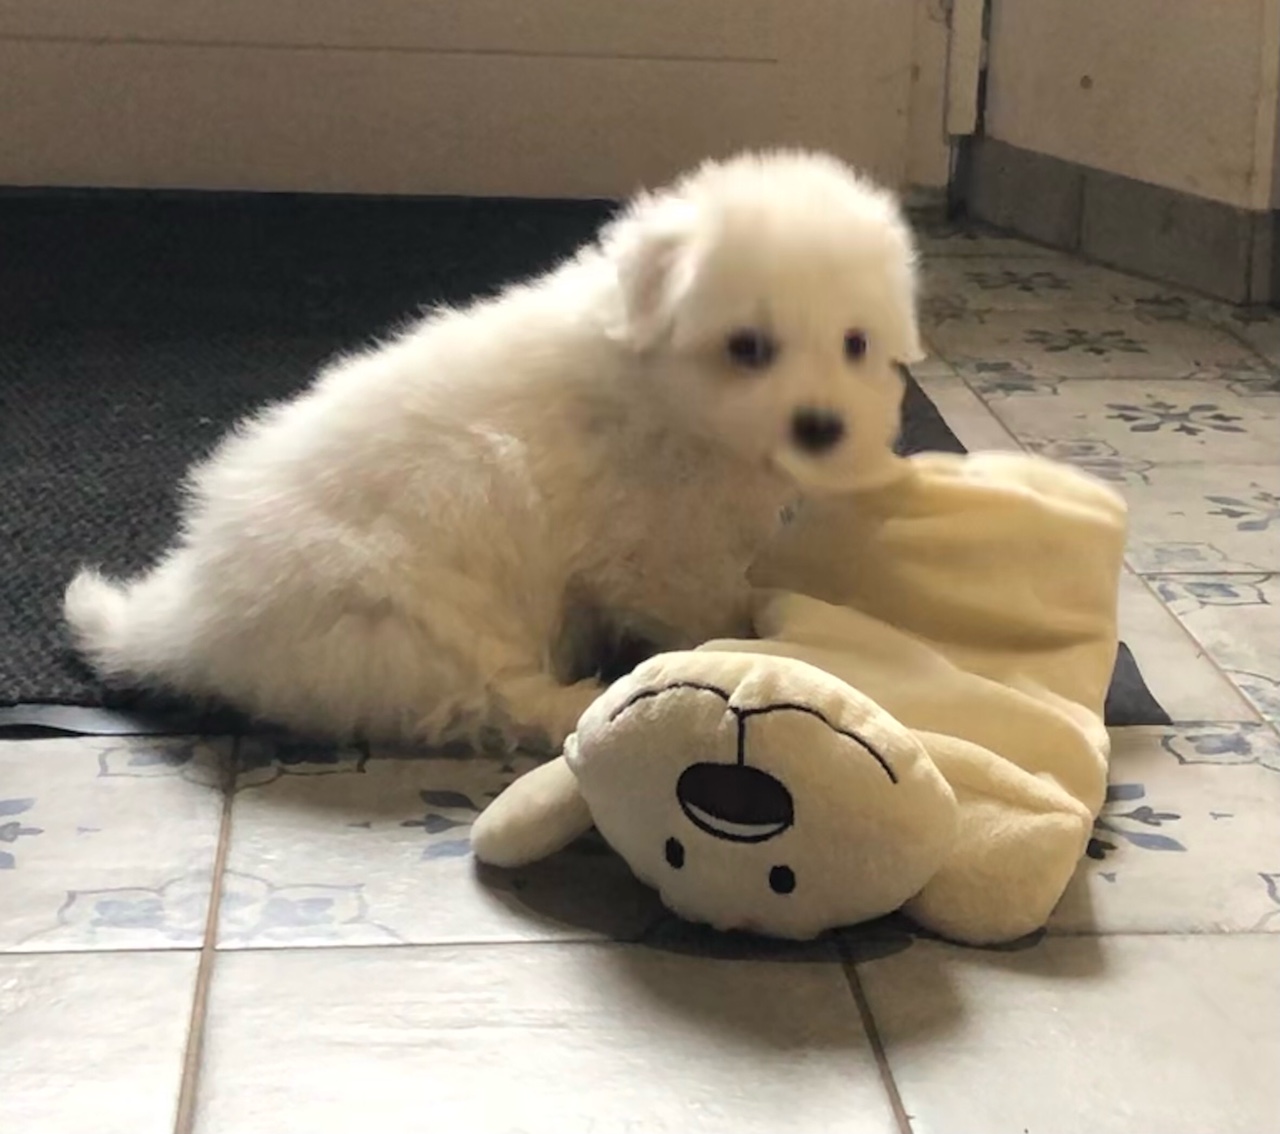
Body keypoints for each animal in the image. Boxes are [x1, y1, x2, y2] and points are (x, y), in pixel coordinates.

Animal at [64, 152, 921, 752]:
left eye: (856, 344)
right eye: (747, 347)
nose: (821, 427)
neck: (658, 389)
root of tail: (192, 618)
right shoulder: (655, 545)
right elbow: (701, 605)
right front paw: (739, 643)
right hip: (415, 625)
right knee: (485, 700)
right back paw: (582, 703)